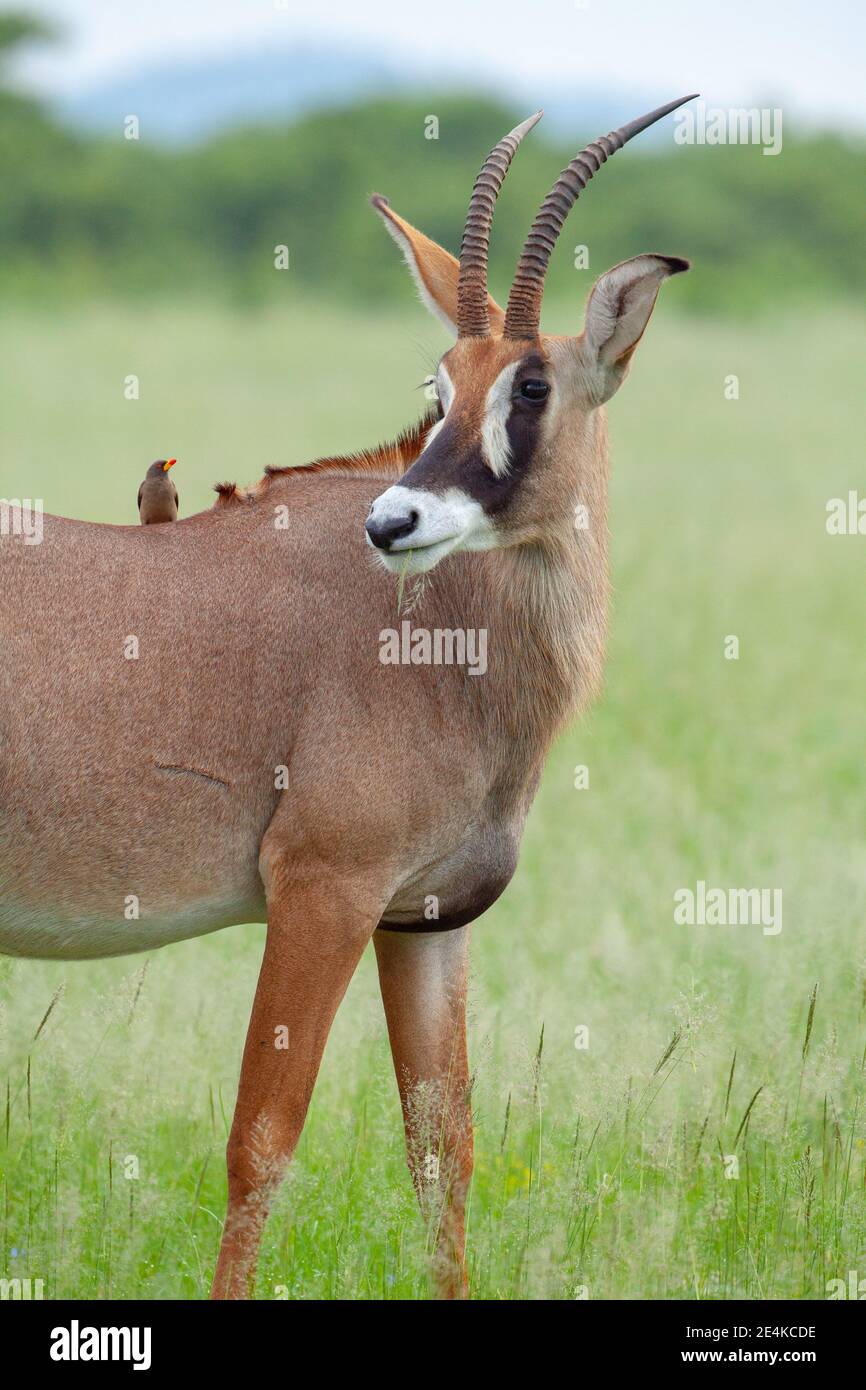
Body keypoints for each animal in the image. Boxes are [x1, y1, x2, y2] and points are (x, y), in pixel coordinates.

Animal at [0, 92, 695, 1295]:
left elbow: (443, 1149)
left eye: (531, 384)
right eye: (437, 385)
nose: (393, 521)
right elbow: (261, 1143)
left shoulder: (425, 919)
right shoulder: (322, 892)